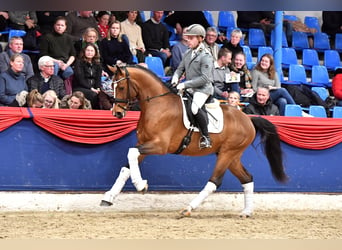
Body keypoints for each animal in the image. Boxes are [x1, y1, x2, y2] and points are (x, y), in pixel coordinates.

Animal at [100, 64, 288, 217]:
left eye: (121, 87)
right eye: (111, 86)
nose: (117, 113)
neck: (157, 105)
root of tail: (248, 119)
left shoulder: (159, 145)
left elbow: (131, 153)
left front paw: (141, 186)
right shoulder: (144, 144)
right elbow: (127, 166)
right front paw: (108, 197)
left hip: (228, 153)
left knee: (215, 181)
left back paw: (188, 209)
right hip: (232, 156)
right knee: (247, 178)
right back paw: (246, 212)